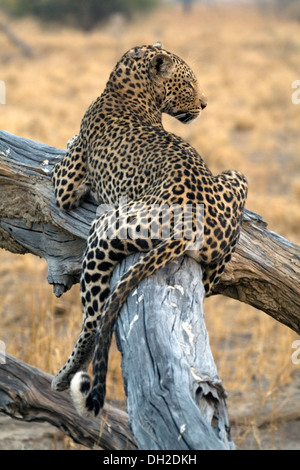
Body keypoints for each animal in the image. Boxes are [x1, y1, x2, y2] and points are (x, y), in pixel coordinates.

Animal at [50, 43, 247, 418]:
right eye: (190, 83)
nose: (205, 104)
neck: (125, 87)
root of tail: (190, 224)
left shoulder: (65, 188)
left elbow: (61, 161)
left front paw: (67, 138)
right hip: (236, 178)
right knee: (211, 278)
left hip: (107, 228)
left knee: (93, 321)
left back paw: (65, 374)